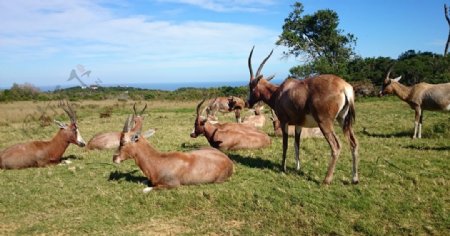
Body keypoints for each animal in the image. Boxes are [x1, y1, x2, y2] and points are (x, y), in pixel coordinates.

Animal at [246, 46, 358, 184]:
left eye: (251, 86)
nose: (248, 102)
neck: (280, 92)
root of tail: (344, 86)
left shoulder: (284, 122)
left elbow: (285, 144)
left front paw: (283, 168)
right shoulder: (299, 124)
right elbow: (297, 144)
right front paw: (297, 168)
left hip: (325, 123)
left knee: (336, 146)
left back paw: (326, 180)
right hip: (343, 120)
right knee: (353, 143)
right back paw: (354, 179)